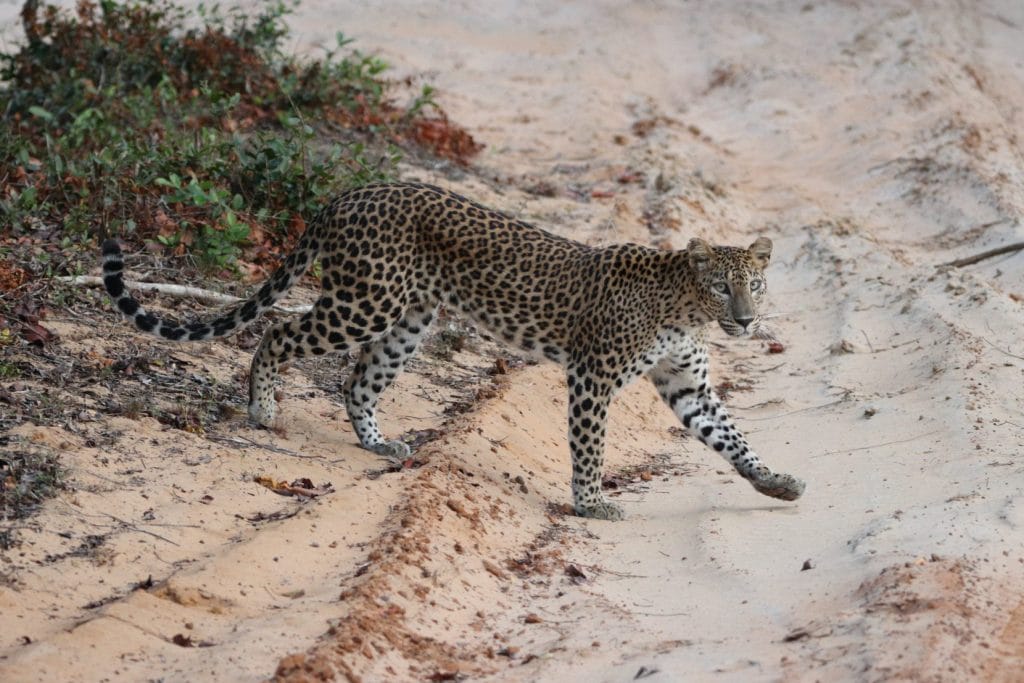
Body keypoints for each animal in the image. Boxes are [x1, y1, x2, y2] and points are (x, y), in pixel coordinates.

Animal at [103, 179, 806, 520]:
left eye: (754, 285)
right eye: (721, 287)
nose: (745, 321)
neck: (685, 310)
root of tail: (347, 194)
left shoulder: (687, 384)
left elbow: (730, 437)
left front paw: (774, 482)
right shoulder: (593, 376)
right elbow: (590, 446)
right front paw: (592, 503)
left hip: (409, 319)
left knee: (357, 379)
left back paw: (377, 442)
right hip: (364, 302)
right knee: (279, 333)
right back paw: (264, 410)